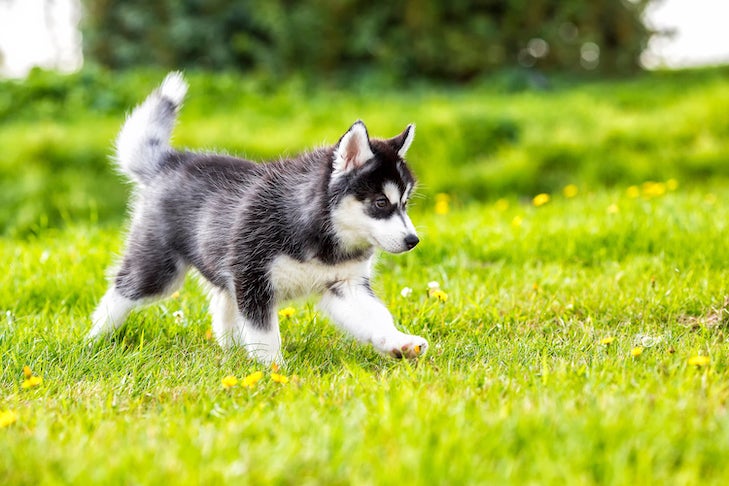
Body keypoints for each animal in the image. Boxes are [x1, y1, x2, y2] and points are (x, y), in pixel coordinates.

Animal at [89, 70, 426, 362]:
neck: (322, 234)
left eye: (405, 202)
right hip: (160, 268)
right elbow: (264, 333)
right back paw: (95, 339)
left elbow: (375, 316)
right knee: (123, 288)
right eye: (381, 202)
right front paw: (273, 369)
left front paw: (398, 341)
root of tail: (172, 160)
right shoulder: (253, 278)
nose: (413, 240)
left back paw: (230, 350)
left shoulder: (344, 283)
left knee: (222, 301)